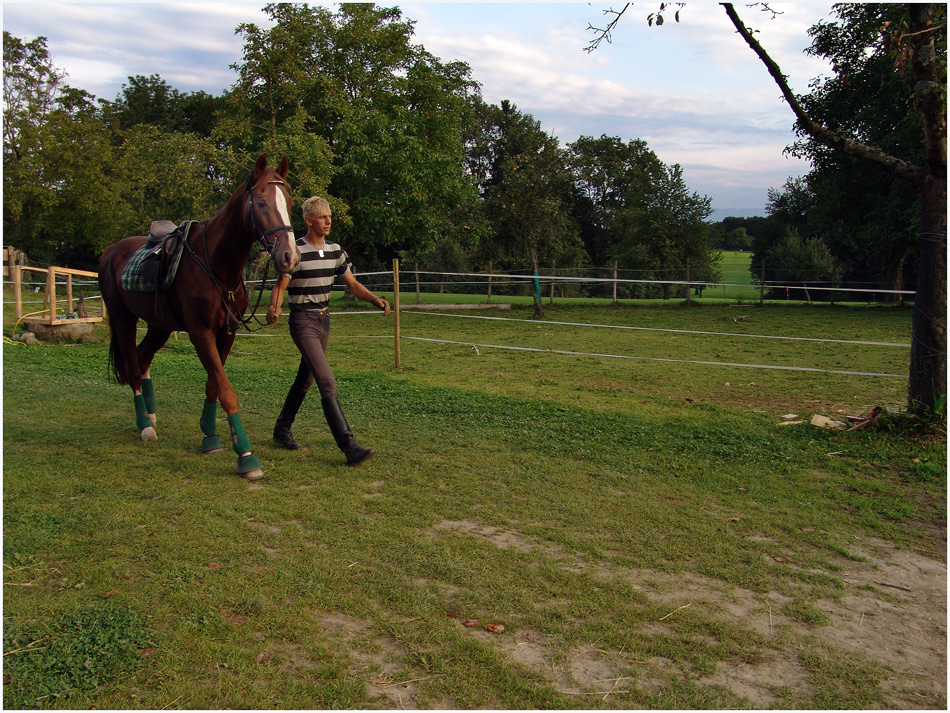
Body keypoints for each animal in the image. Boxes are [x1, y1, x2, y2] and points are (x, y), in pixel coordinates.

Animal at [98, 155, 300, 478]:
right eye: (261, 202)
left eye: (289, 201)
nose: (289, 256)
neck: (215, 264)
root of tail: (110, 251)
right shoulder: (200, 333)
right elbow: (226, 390)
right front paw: (246, 455)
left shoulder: (227, 333)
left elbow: (213, 384)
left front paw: (210, 435)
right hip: (123, 319)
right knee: (131, 366)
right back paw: (145, 426)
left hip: (159, 325)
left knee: (143, 358)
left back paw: (150, 416)